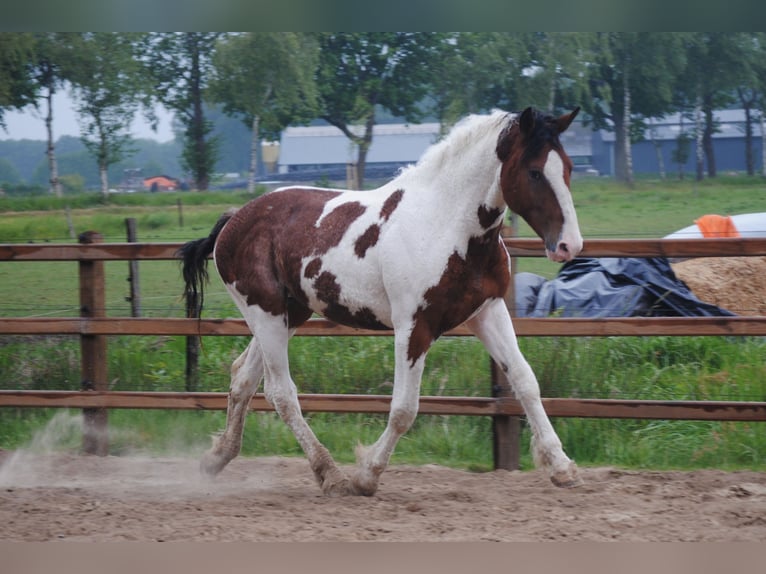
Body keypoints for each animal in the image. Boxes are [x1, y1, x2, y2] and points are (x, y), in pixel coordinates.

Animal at [179, 106, 584, 496]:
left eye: (568, 167)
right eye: (534, 172)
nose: (569, 245)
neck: (444, 226)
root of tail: (234, 221)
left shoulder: (487, 313)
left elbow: (525, 381)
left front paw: (563, 468)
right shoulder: (414, 327)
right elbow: (404, 409)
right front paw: (367, 475)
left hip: (287, 315)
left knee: (243, 377)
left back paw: (217, 458)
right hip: (265, 314)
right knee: (281, 393)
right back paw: (331, 475)